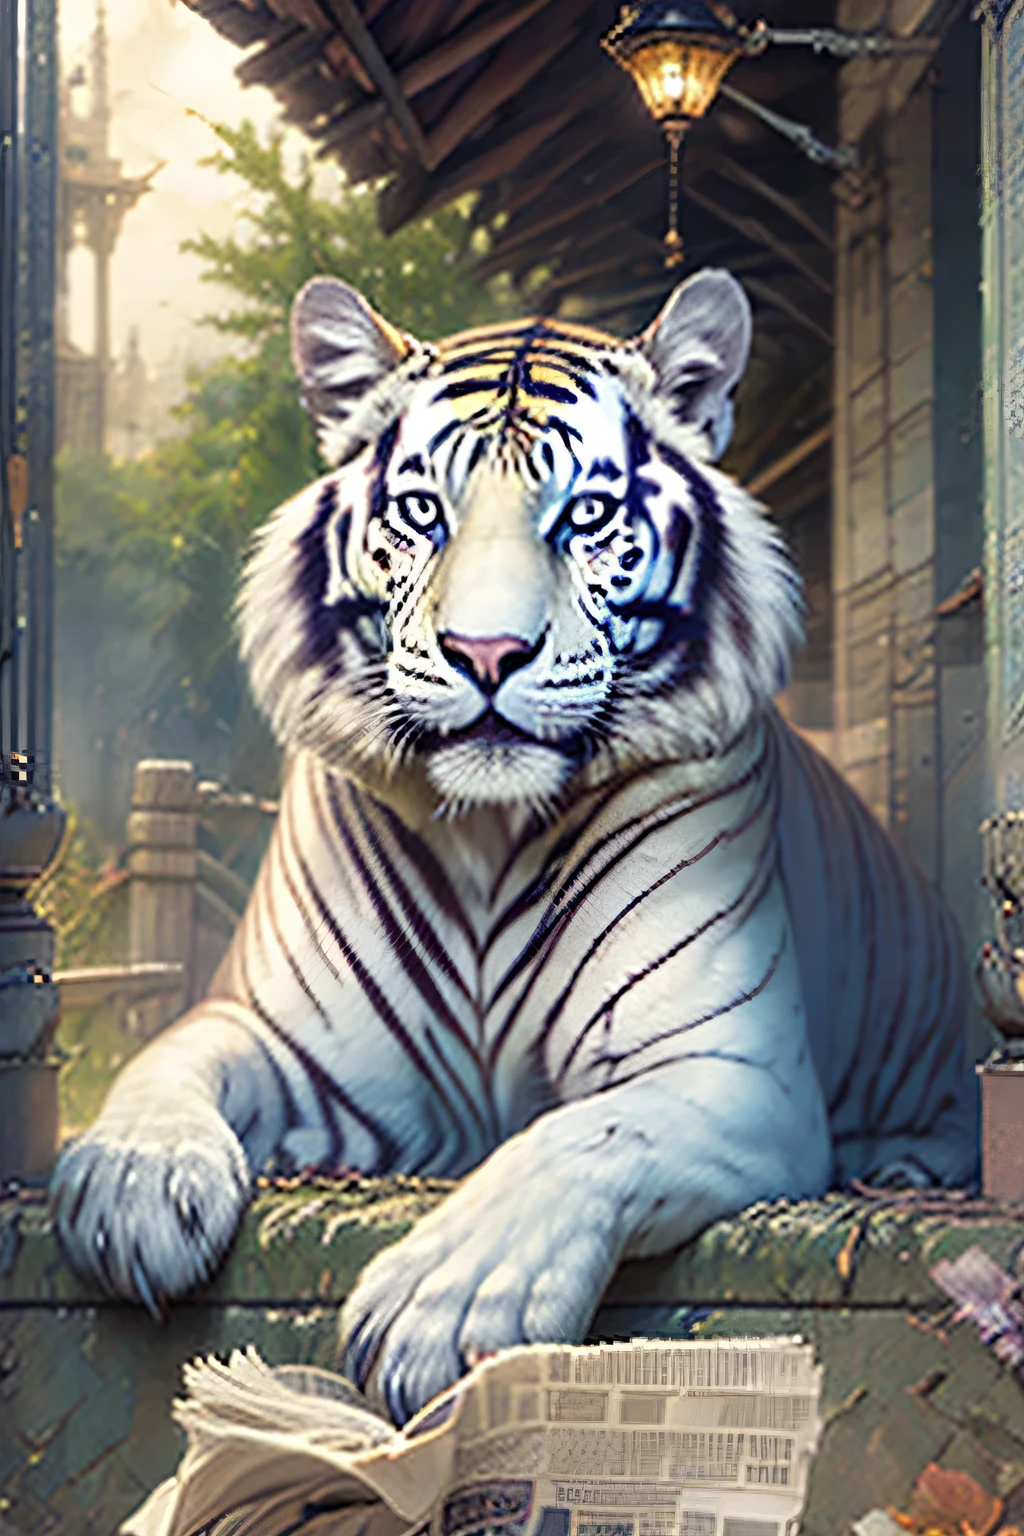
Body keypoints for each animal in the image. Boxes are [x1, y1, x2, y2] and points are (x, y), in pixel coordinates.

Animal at [50, 268, 977, 1426]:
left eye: (585, 514)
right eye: (422, 511)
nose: (485, 652)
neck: (489, 835)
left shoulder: (730, 1070)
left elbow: (579, 1137)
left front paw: (445, 1307)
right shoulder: (299, 1050)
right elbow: (173, 1055)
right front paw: (129, 1182)